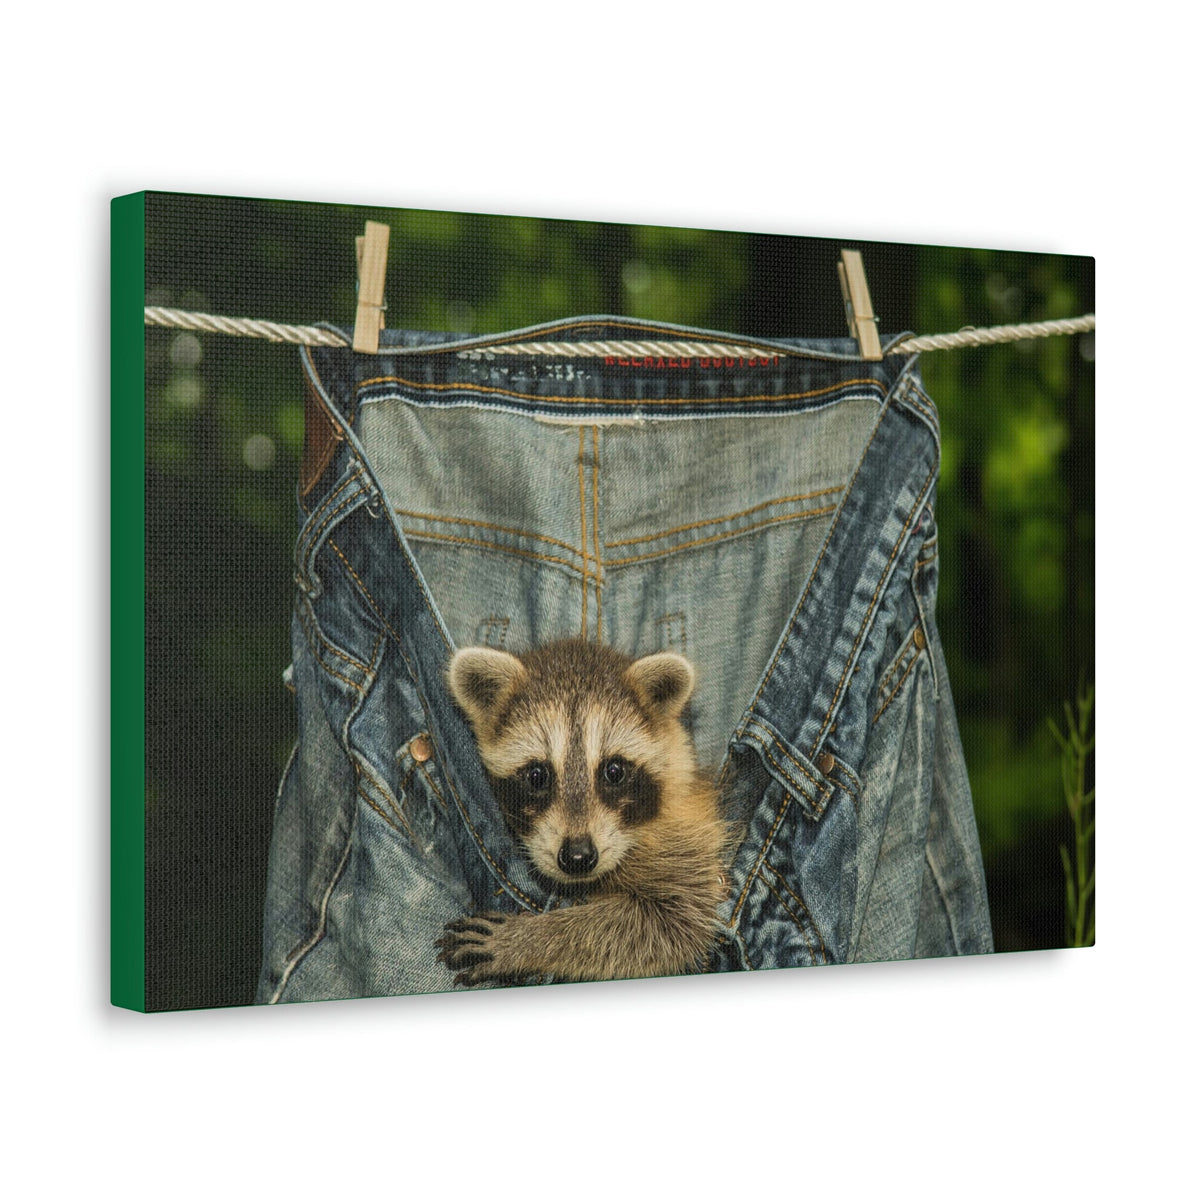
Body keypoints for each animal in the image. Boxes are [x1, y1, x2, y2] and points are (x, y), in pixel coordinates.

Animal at [437, 639, 727, 986]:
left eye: (614, 771)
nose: (577, 857)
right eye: (537, 775)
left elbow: (670, 923)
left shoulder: (685, 838)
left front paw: (529, 938)